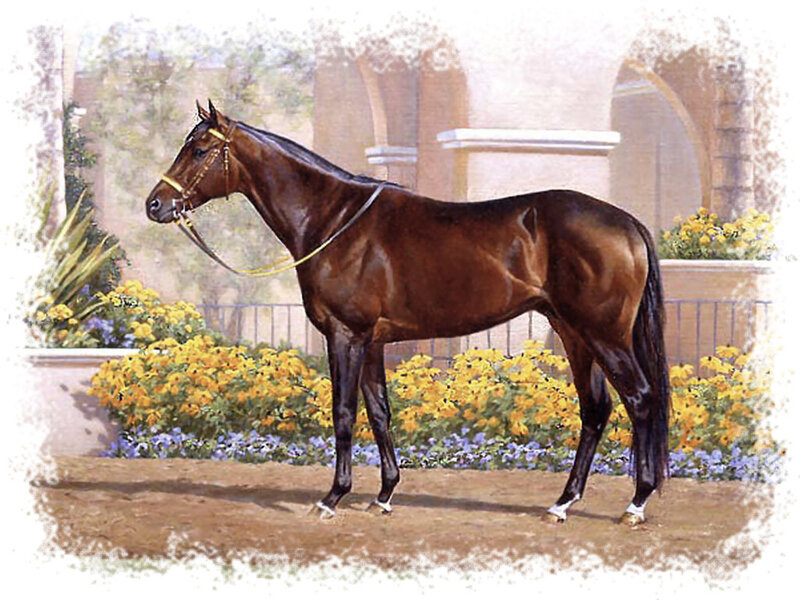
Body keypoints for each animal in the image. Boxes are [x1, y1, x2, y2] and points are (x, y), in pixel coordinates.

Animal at [146, 100, 670, 526]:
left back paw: (636, 503)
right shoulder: (373, 341)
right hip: (573, 334)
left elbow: (343, 413)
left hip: (603, 335)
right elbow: (379, 412)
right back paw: (562, 503)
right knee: (596, 410)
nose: (156, 204)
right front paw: (384, 494)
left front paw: (333, 497)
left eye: (198, 150)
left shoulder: (346, 335)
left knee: (641, 399)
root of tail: (627, 223)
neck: (334, 221)